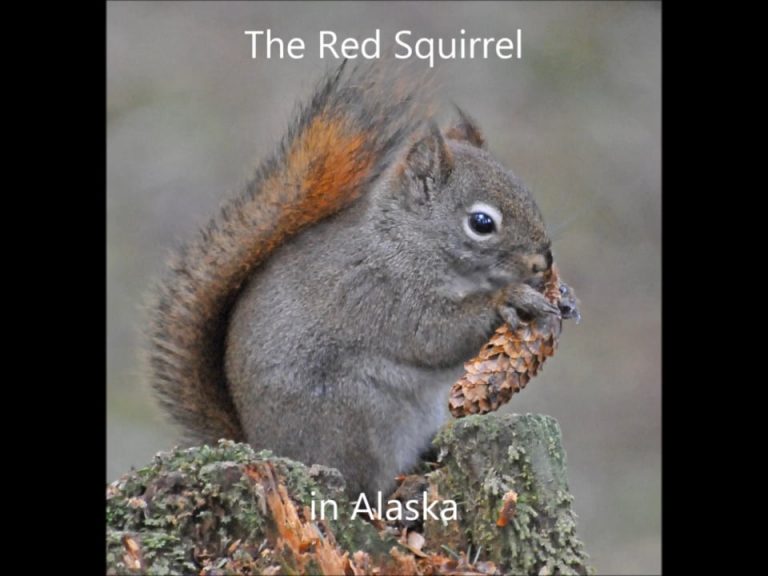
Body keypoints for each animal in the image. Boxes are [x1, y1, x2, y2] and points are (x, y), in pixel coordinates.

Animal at [147, 62, 560, 497]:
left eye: (526, 192)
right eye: (482, 223)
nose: (544, 262)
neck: (409, 239)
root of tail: (264, 445)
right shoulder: (383, 290)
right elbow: (434, 335)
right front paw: (510, 298)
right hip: (358, 416)